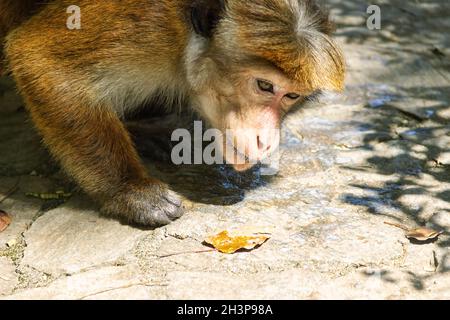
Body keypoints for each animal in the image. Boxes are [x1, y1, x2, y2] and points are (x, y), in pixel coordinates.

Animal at [1, 0, 344, 226]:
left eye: (292, 96)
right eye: (264, 85)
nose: (266, 140)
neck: (184, 37)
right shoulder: (144, 25)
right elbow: (40, 59)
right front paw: (130, 189)